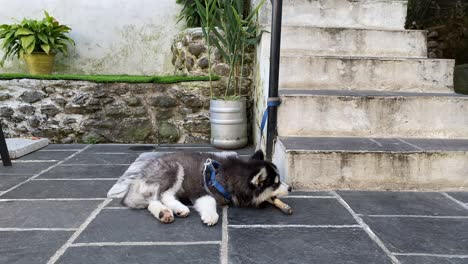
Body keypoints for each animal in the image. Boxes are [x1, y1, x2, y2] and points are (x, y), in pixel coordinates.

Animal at [121, 150, 288, 226]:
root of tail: (141, 173)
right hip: (174, 169)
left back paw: (169, 212)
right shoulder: (200, 191)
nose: (291, 188)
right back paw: (169, 211)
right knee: (160, 197)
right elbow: (210, 201)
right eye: (275, 184)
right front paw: (211, 215)